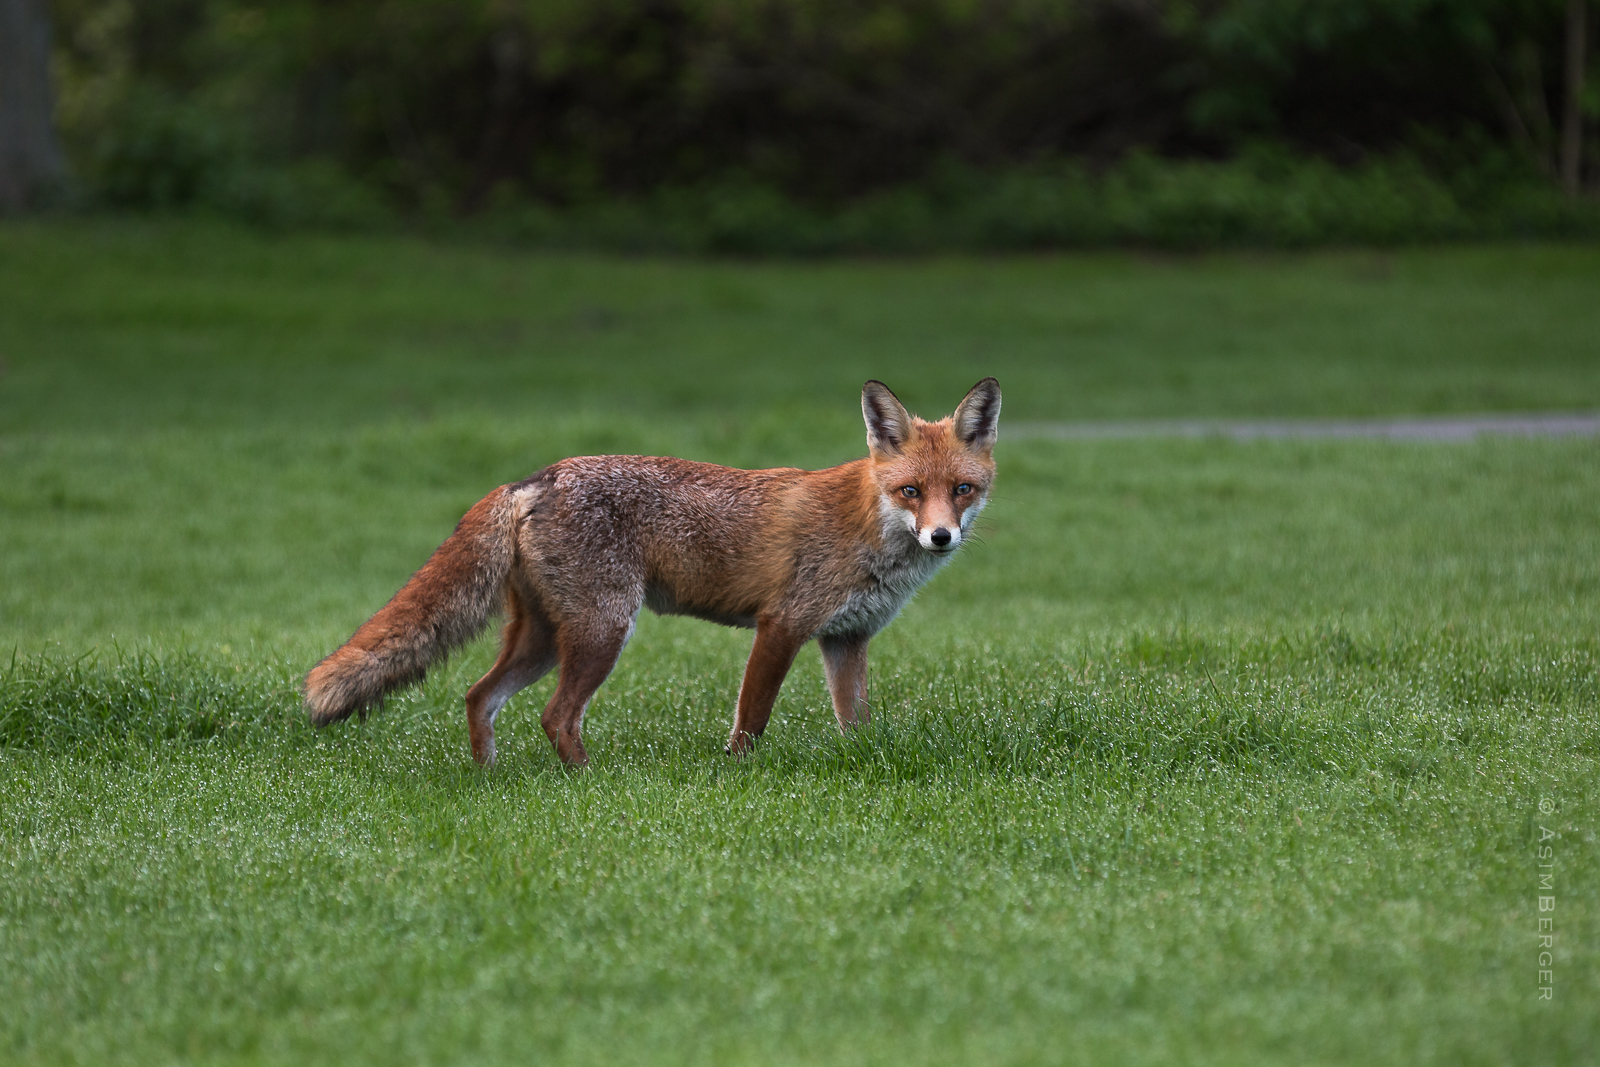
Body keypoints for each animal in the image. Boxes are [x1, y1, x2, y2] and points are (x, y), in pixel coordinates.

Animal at [300, 379, 998, 764]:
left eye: (961, 489)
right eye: (911, 491)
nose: (941, 536)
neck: (868, 528)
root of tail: (536, 477)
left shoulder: (846, 639)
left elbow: (857, 726)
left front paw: (860, 761)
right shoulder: (782, 626)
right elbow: (751, 722)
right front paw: (736, 775)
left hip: (543, 639)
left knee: (479, 697)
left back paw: (489, 780)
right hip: (603, 630)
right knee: (556, 716)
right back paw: (586, 781)